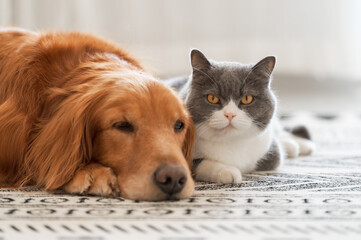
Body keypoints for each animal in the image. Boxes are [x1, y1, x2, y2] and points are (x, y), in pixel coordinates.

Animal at [167, 48, 316, 184]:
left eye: (247, 99)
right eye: (212, 98)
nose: (230, 114)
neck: (231, 143)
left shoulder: (270, 153)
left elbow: (273, 157)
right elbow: (196, 164)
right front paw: (227, 171)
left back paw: (300, 145)